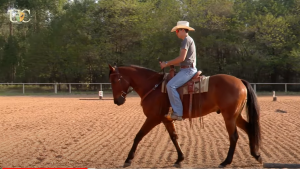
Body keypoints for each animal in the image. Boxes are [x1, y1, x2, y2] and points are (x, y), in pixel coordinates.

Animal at [108, 63, 260, 168]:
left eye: (114, 81)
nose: (117, 101)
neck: (153, 87)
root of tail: (239, 81)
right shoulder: (166, 119)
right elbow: (174, 137)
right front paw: (180, 158)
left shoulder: (153, 119)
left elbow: (138, 136)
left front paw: (128, 159)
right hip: (236, 116)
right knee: (249, 128)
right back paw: (256, 154)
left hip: (229, 116)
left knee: (234, 136)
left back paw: (226, 161)